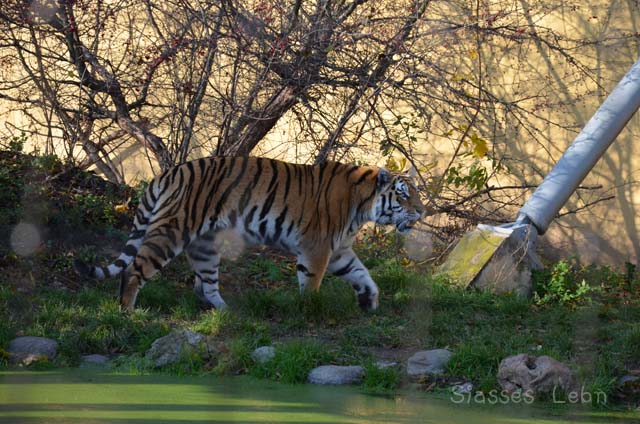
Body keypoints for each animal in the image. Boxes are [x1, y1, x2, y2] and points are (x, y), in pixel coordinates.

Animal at [72, 156, 428, 312]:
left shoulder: (339, 250)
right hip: (170, 233)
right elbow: (312, 281)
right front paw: (308, 310)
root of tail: (168, 173)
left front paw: (369, 301)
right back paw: (127, 312)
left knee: (205, 284)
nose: (423, 211)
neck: (363, 206)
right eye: (404, 196)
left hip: (204, 245)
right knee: (134, 269)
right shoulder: (318, 247)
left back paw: (226, 313)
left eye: (417, 194)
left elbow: (363, 274)